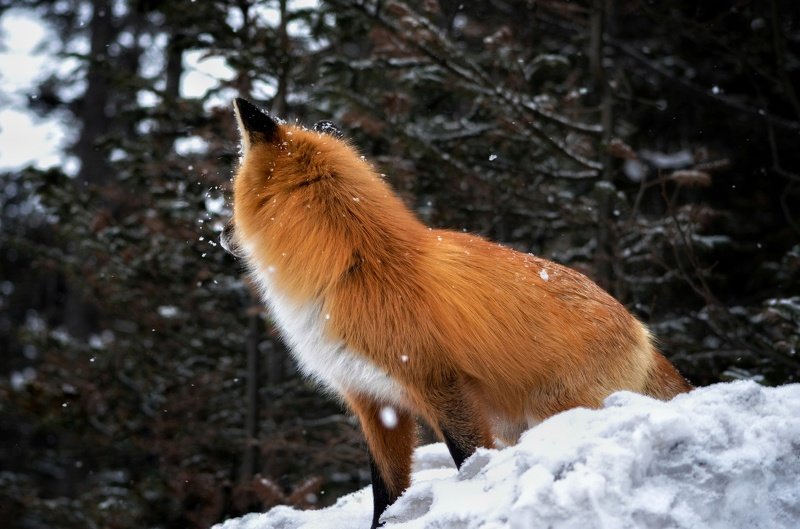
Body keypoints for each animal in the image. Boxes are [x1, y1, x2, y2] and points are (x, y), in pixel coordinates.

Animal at [222, 98, 692, 529]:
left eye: (231, 189)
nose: (223, 236)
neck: (353, 267)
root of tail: (642, 331)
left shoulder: (440, 382)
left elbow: (468, 458)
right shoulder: (373, 399)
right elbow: (385, 493)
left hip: (552, 412)